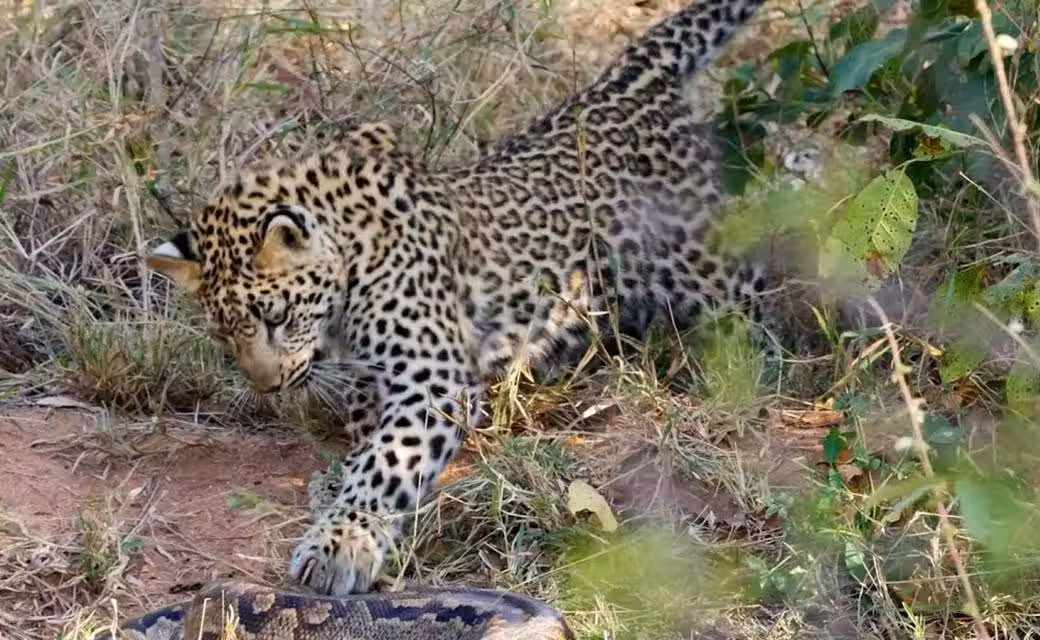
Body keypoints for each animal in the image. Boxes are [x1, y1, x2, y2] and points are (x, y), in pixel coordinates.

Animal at [144, 0, 771, 599]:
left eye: (276, 317)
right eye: (224, 334)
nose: (267, 386)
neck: (352, 253)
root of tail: (629, 80)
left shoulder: (434, 378)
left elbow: (388, 462)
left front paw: (341, 542)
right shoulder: (372, 380)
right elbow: (367, 444)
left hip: (707, 268)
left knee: (756, 311)